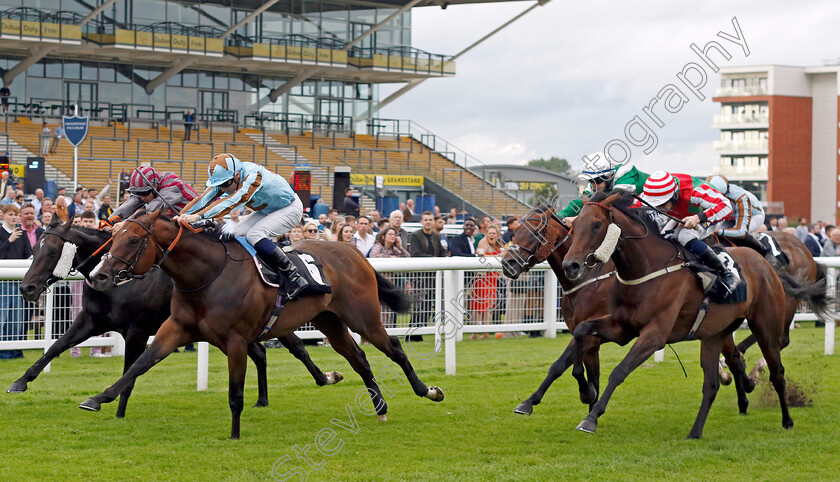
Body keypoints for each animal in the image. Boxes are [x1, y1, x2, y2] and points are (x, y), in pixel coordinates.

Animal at [6, 220, 342, 416]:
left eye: (51, 252)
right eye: (33, 248)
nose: (26, 288)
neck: (119, 282)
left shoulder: (137, 330)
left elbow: (132, 368)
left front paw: (117, 409)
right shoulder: (91, 320)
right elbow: (55, 347)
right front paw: (20, 382)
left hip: (271, 321)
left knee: (296, 349)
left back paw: (324, 377)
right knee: (259, 352)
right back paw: (262, 399)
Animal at [82, 209, 442, 438]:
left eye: (132, 241)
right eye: (112, 237)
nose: (99, 276)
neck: (206, 274)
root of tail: (353, 251)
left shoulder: (236, 340)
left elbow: (235, 392)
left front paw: (234, 434)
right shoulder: (176, 329)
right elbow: (138, 365)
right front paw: (98, 399)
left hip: (363, 317)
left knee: (393, 347)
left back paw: (428, 390)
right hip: (329, 320)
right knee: (359, 359)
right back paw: (380, 406)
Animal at [502, 205, 744, 416]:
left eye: (535, 232)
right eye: (516, 231)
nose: (507, 264)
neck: (588, 281)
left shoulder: (594, 338)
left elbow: (570, 368)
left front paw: (588, 400)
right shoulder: (590, 335)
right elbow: (563, 368)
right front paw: (532, 402)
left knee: (734, 357)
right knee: (735, 357)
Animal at [560, 190, 792, 438]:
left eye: (596, 225)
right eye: (575, 225)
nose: (570, 266)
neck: (645, 269)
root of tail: (765, 263)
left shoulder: (654, 336)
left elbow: (619, 371)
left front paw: (591, 418)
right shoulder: (622, 327)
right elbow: (581, 330)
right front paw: (586, 390)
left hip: (766, 328)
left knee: (777, 373)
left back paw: (787, 421)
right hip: (714, 335)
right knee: (712, 384)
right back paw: (695, 431)